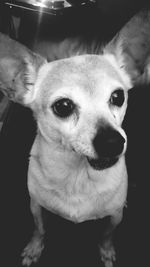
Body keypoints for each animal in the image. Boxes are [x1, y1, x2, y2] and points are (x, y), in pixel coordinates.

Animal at [0, 8, 150, 267]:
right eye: (63, 107)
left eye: (118, 97)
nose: (113, 142)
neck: (79, 176)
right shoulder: (35, 206)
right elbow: (39, 229)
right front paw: (34, 248)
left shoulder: (115, 216)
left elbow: (107, 234)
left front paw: (106, 251)